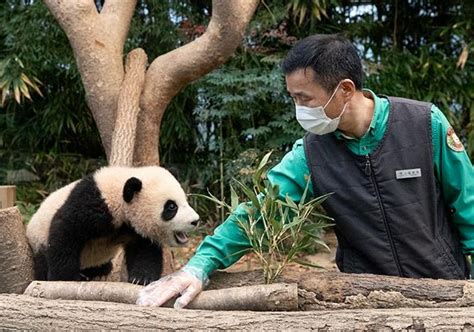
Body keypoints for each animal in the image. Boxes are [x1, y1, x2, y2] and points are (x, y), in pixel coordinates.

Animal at [25, 166, 199, 286]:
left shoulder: (136, 229)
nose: (195, 221)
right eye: (171, 207)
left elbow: (145, 250)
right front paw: (65, 277)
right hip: (39, 240)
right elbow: (66, 231)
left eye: (186, 201)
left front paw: (141, 278)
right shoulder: (92, 203)